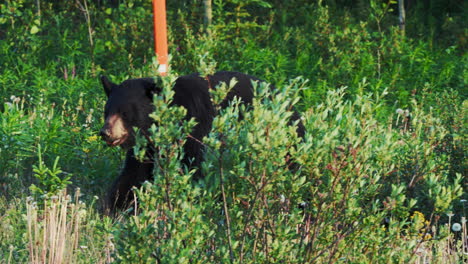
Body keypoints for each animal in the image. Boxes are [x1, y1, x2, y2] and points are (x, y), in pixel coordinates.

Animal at [98, 71, 304, 212]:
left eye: (125, 112)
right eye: (107, 111)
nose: (105, 132)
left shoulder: (196, 128)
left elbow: (195, 169)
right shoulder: (146, 147)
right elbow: (133, 174)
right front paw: (114, 206)